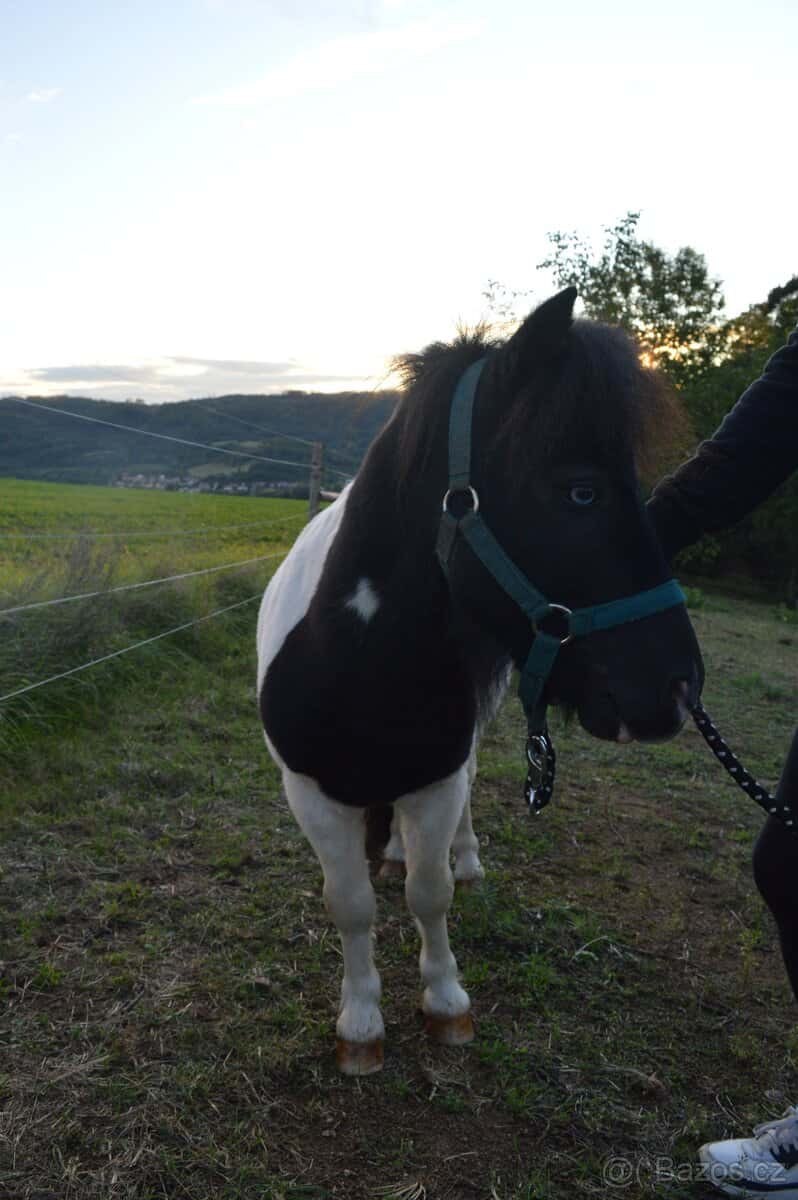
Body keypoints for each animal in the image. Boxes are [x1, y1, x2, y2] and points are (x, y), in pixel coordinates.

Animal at [256, 287, 702, 1076]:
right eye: (580, 491)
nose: (680, 689)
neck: (358, 662)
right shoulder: (312, 795)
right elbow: (351, 905)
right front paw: (360, 1023)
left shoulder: (435, 781)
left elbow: (430, 895)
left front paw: (445, 1002)